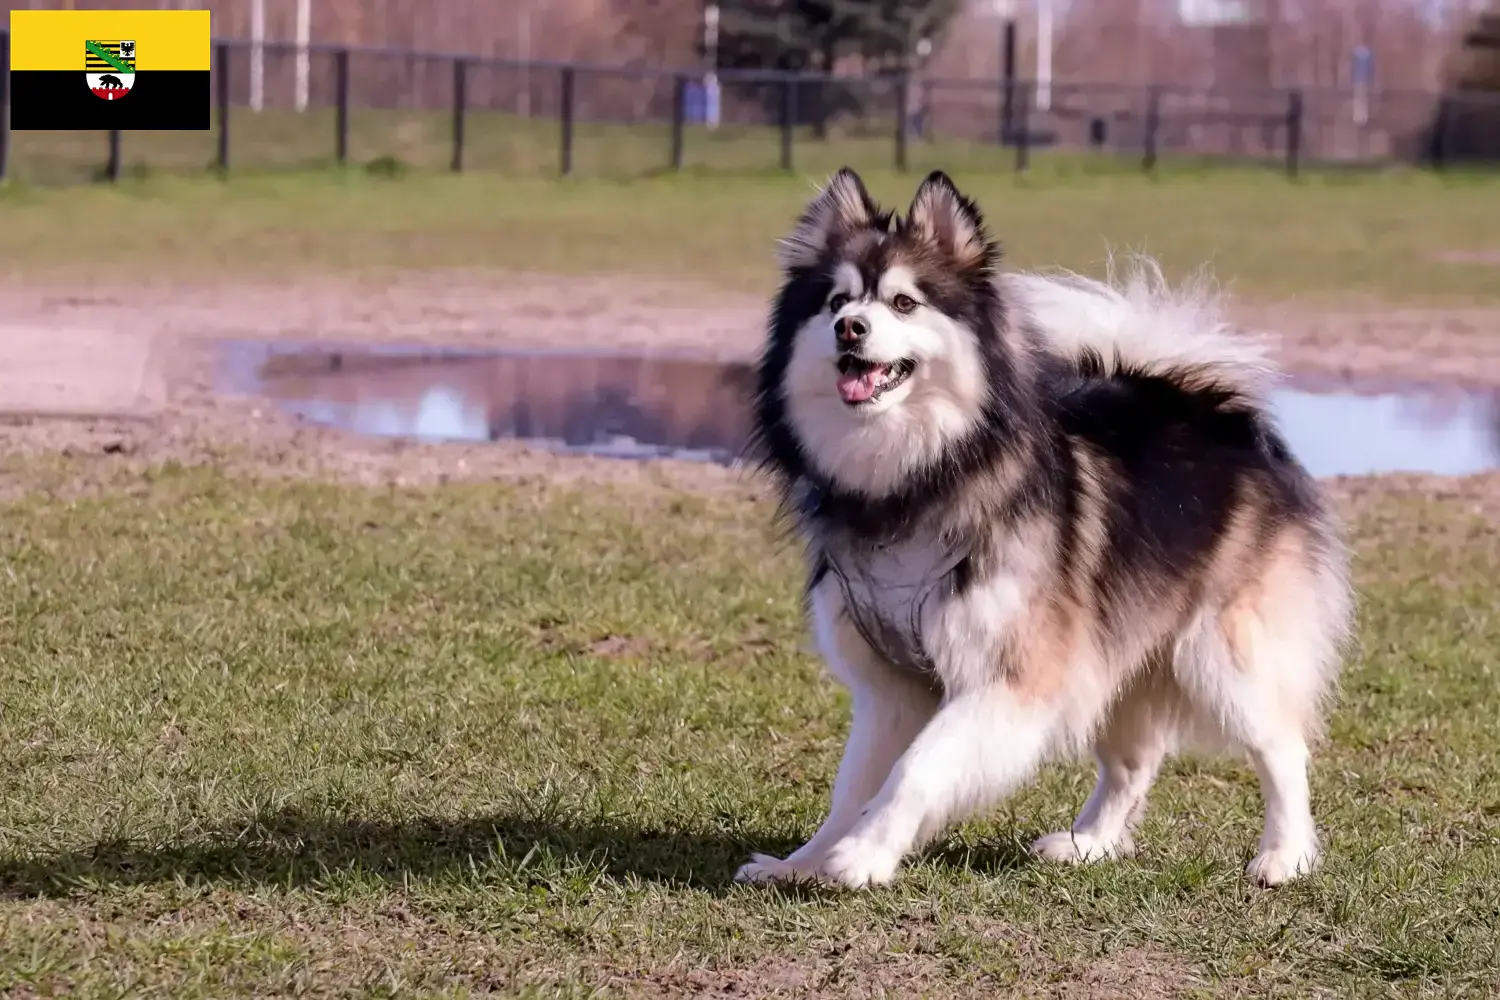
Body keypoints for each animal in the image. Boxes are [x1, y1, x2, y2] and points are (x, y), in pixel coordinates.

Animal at [732, 170, 1356, 893]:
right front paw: (802, 862)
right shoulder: (890, 687)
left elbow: (917, 769)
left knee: (1281, 747)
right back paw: (1090, 843)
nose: (849, 328)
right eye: (836, 300)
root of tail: (1211, 407)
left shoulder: (1010, 678)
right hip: (1123, 647)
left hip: (1224, 654)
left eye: (905, 303)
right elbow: (853, 783)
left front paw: (862, 855)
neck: (917, 482)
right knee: (1133, 762)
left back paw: (1285, 855)